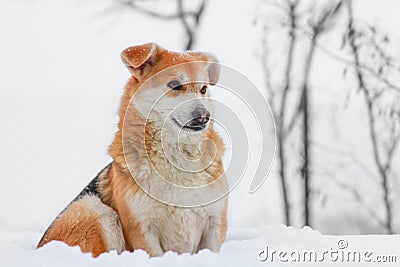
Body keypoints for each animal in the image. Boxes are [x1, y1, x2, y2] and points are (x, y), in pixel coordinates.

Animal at [37, 43, 228, 258]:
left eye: (203, 89)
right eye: (175, 85)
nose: (204, 115)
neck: (175, 156)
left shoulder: (215, 222)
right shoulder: (141, 230)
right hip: (97, 211)